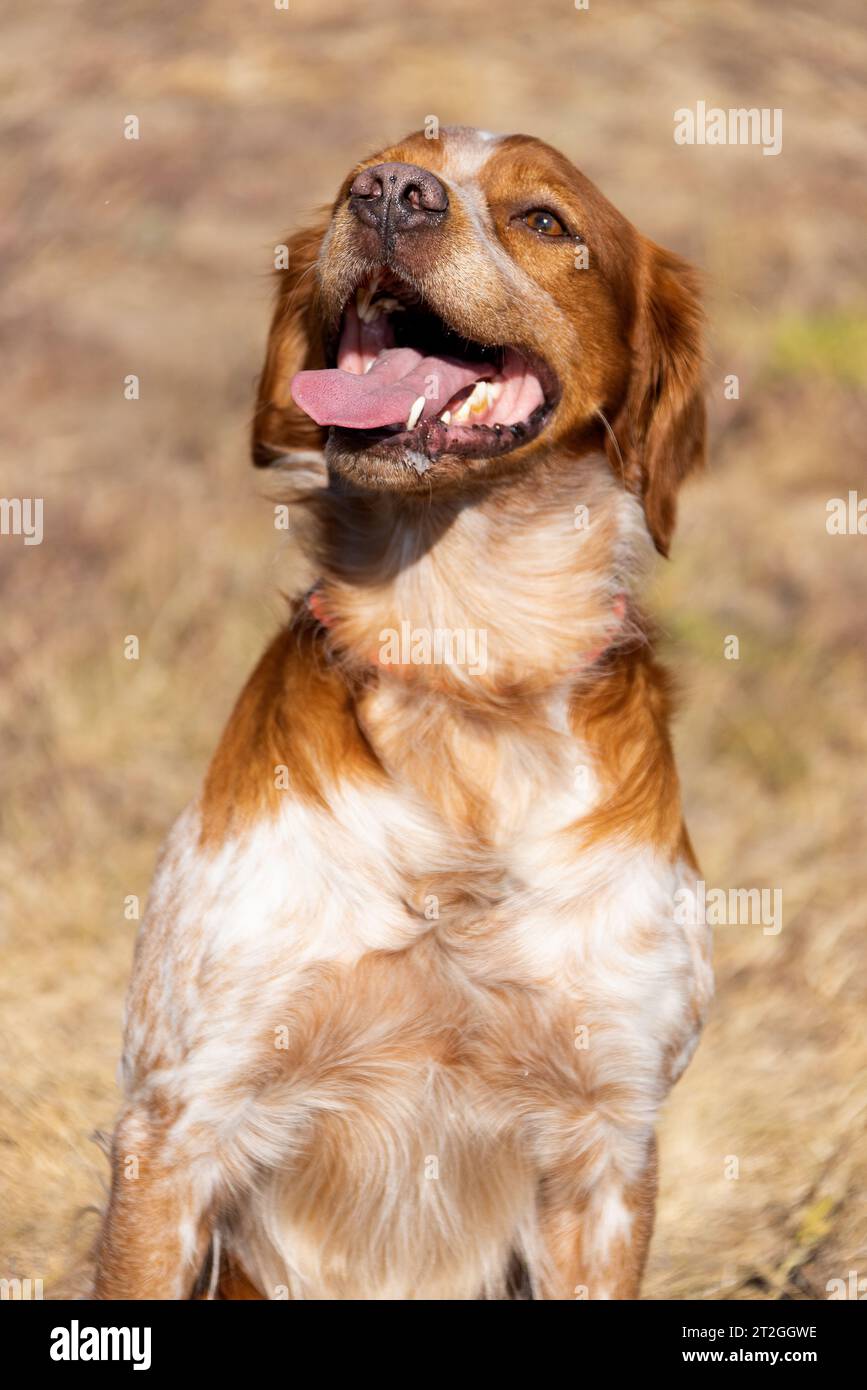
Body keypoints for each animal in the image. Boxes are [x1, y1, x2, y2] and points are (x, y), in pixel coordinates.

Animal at [94, 125, 716, 1295]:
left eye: (545, 218)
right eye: (361, 172)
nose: (387, 195)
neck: (465, 671)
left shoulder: (606, 1149)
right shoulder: (178, 1118)